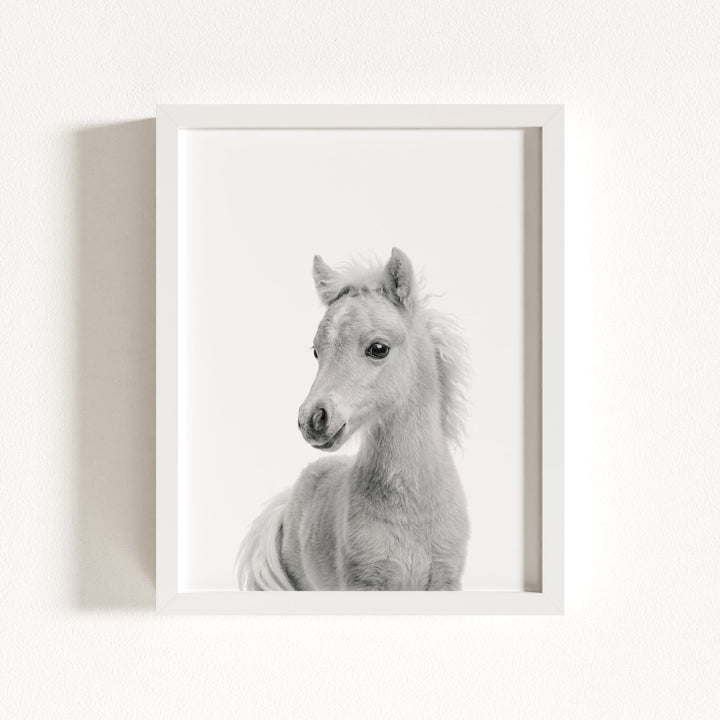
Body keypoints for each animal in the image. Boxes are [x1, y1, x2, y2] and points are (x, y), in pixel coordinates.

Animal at [236, 248, 470, 590]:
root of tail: (288, 499)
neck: (413, 509)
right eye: (316, 351)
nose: (312, 420)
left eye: (378, 348)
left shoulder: (445, 582)